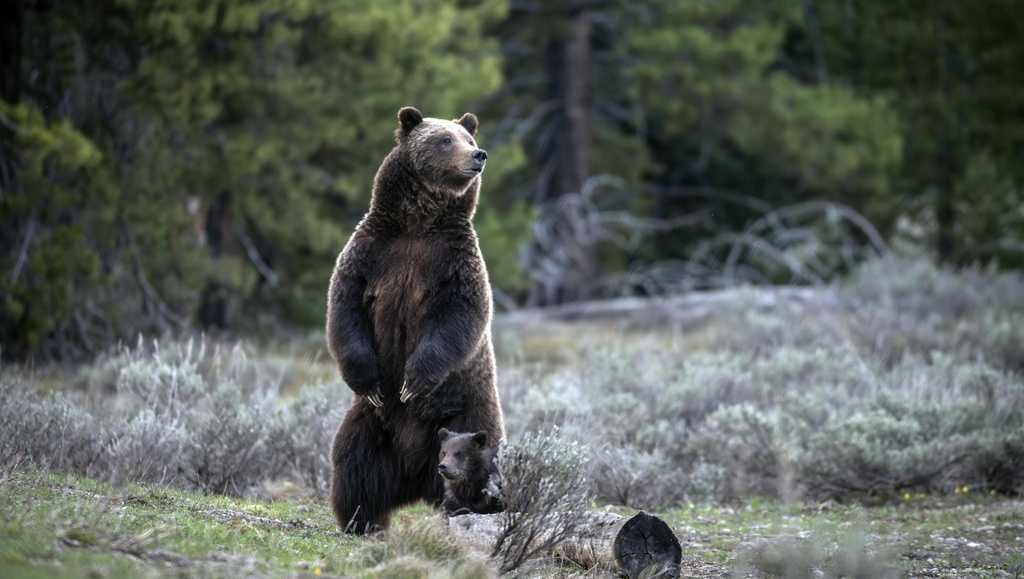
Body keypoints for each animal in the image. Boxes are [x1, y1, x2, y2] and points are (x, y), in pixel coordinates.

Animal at [325, 105, 505, 532]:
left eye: (468, 138)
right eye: (445, 139)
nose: (479, 155)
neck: (418, 224)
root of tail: (414, 477)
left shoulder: (453, 262)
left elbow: (458, 317)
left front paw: (413, 381)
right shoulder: (372, 253)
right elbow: (346, 309)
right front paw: (371, 381)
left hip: (469, 413)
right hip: (373, 425)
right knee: (354, 462)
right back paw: (361, 519)